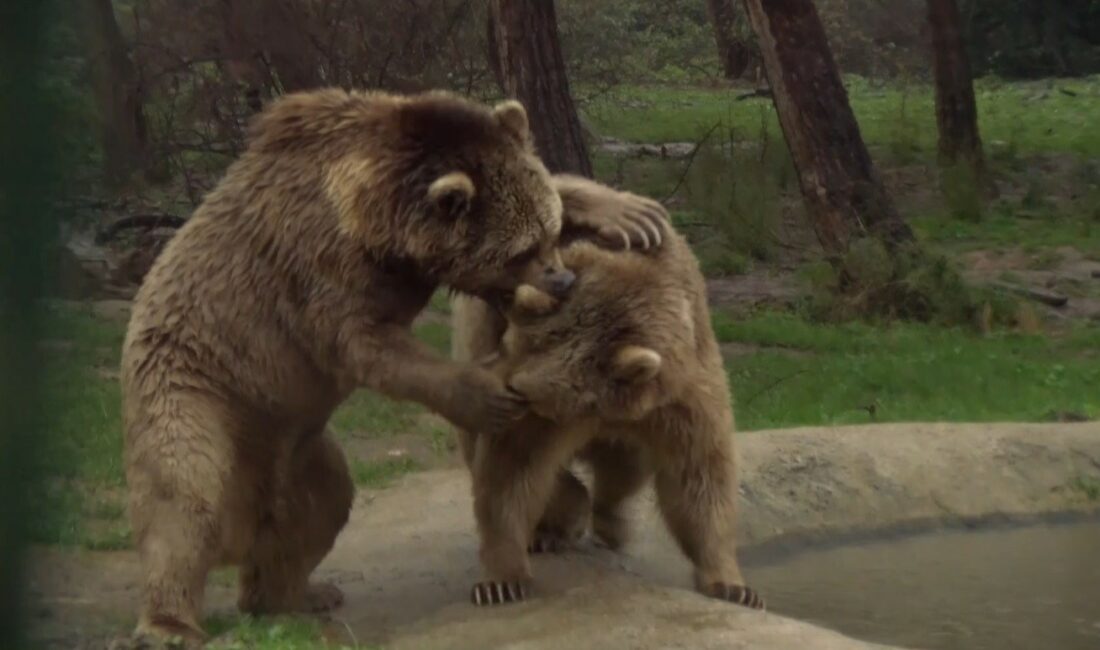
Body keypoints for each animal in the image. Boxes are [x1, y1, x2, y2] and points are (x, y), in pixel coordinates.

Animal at [123, 87, 664, 646]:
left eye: (551, 232)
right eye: (522, 251)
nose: (561, 281)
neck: (377, 223)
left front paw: (629, 213)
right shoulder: (317, 268)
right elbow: (371, 346)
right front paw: (487, 394)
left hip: (299, 443)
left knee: (323, 505)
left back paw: (295, 596)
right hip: (202, 385)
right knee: (186, 497)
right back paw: (170, 623)